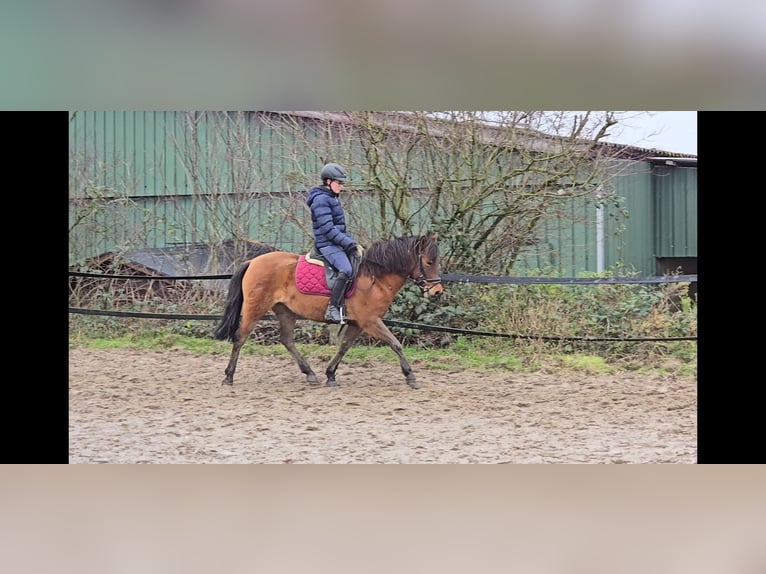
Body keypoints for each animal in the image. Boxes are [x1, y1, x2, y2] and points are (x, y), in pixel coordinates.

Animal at [213, 234, 448, 392]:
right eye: (429, 262)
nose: (437, 291)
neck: (376, 278)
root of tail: (253, 261)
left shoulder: (357, 323)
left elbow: (344, 347)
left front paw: (330, 374)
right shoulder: (370, 321)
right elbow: (396, 344)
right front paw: (410, 376)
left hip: (285, 311)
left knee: (287, 340)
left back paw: (310, 373)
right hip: (255, 308)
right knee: (240, 337)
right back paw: (229, 377)